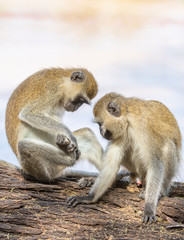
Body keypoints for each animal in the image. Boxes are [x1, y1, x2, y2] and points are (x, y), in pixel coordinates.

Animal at [67, 92, 182, 225]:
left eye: (100, 124)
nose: (100, 131)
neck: (128, 119)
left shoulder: (143, 128)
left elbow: (155, 164)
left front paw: (149, 206)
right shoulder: (121, 134)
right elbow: (110, 166)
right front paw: (89, 197)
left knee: (167, 146)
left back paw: (162, 190)